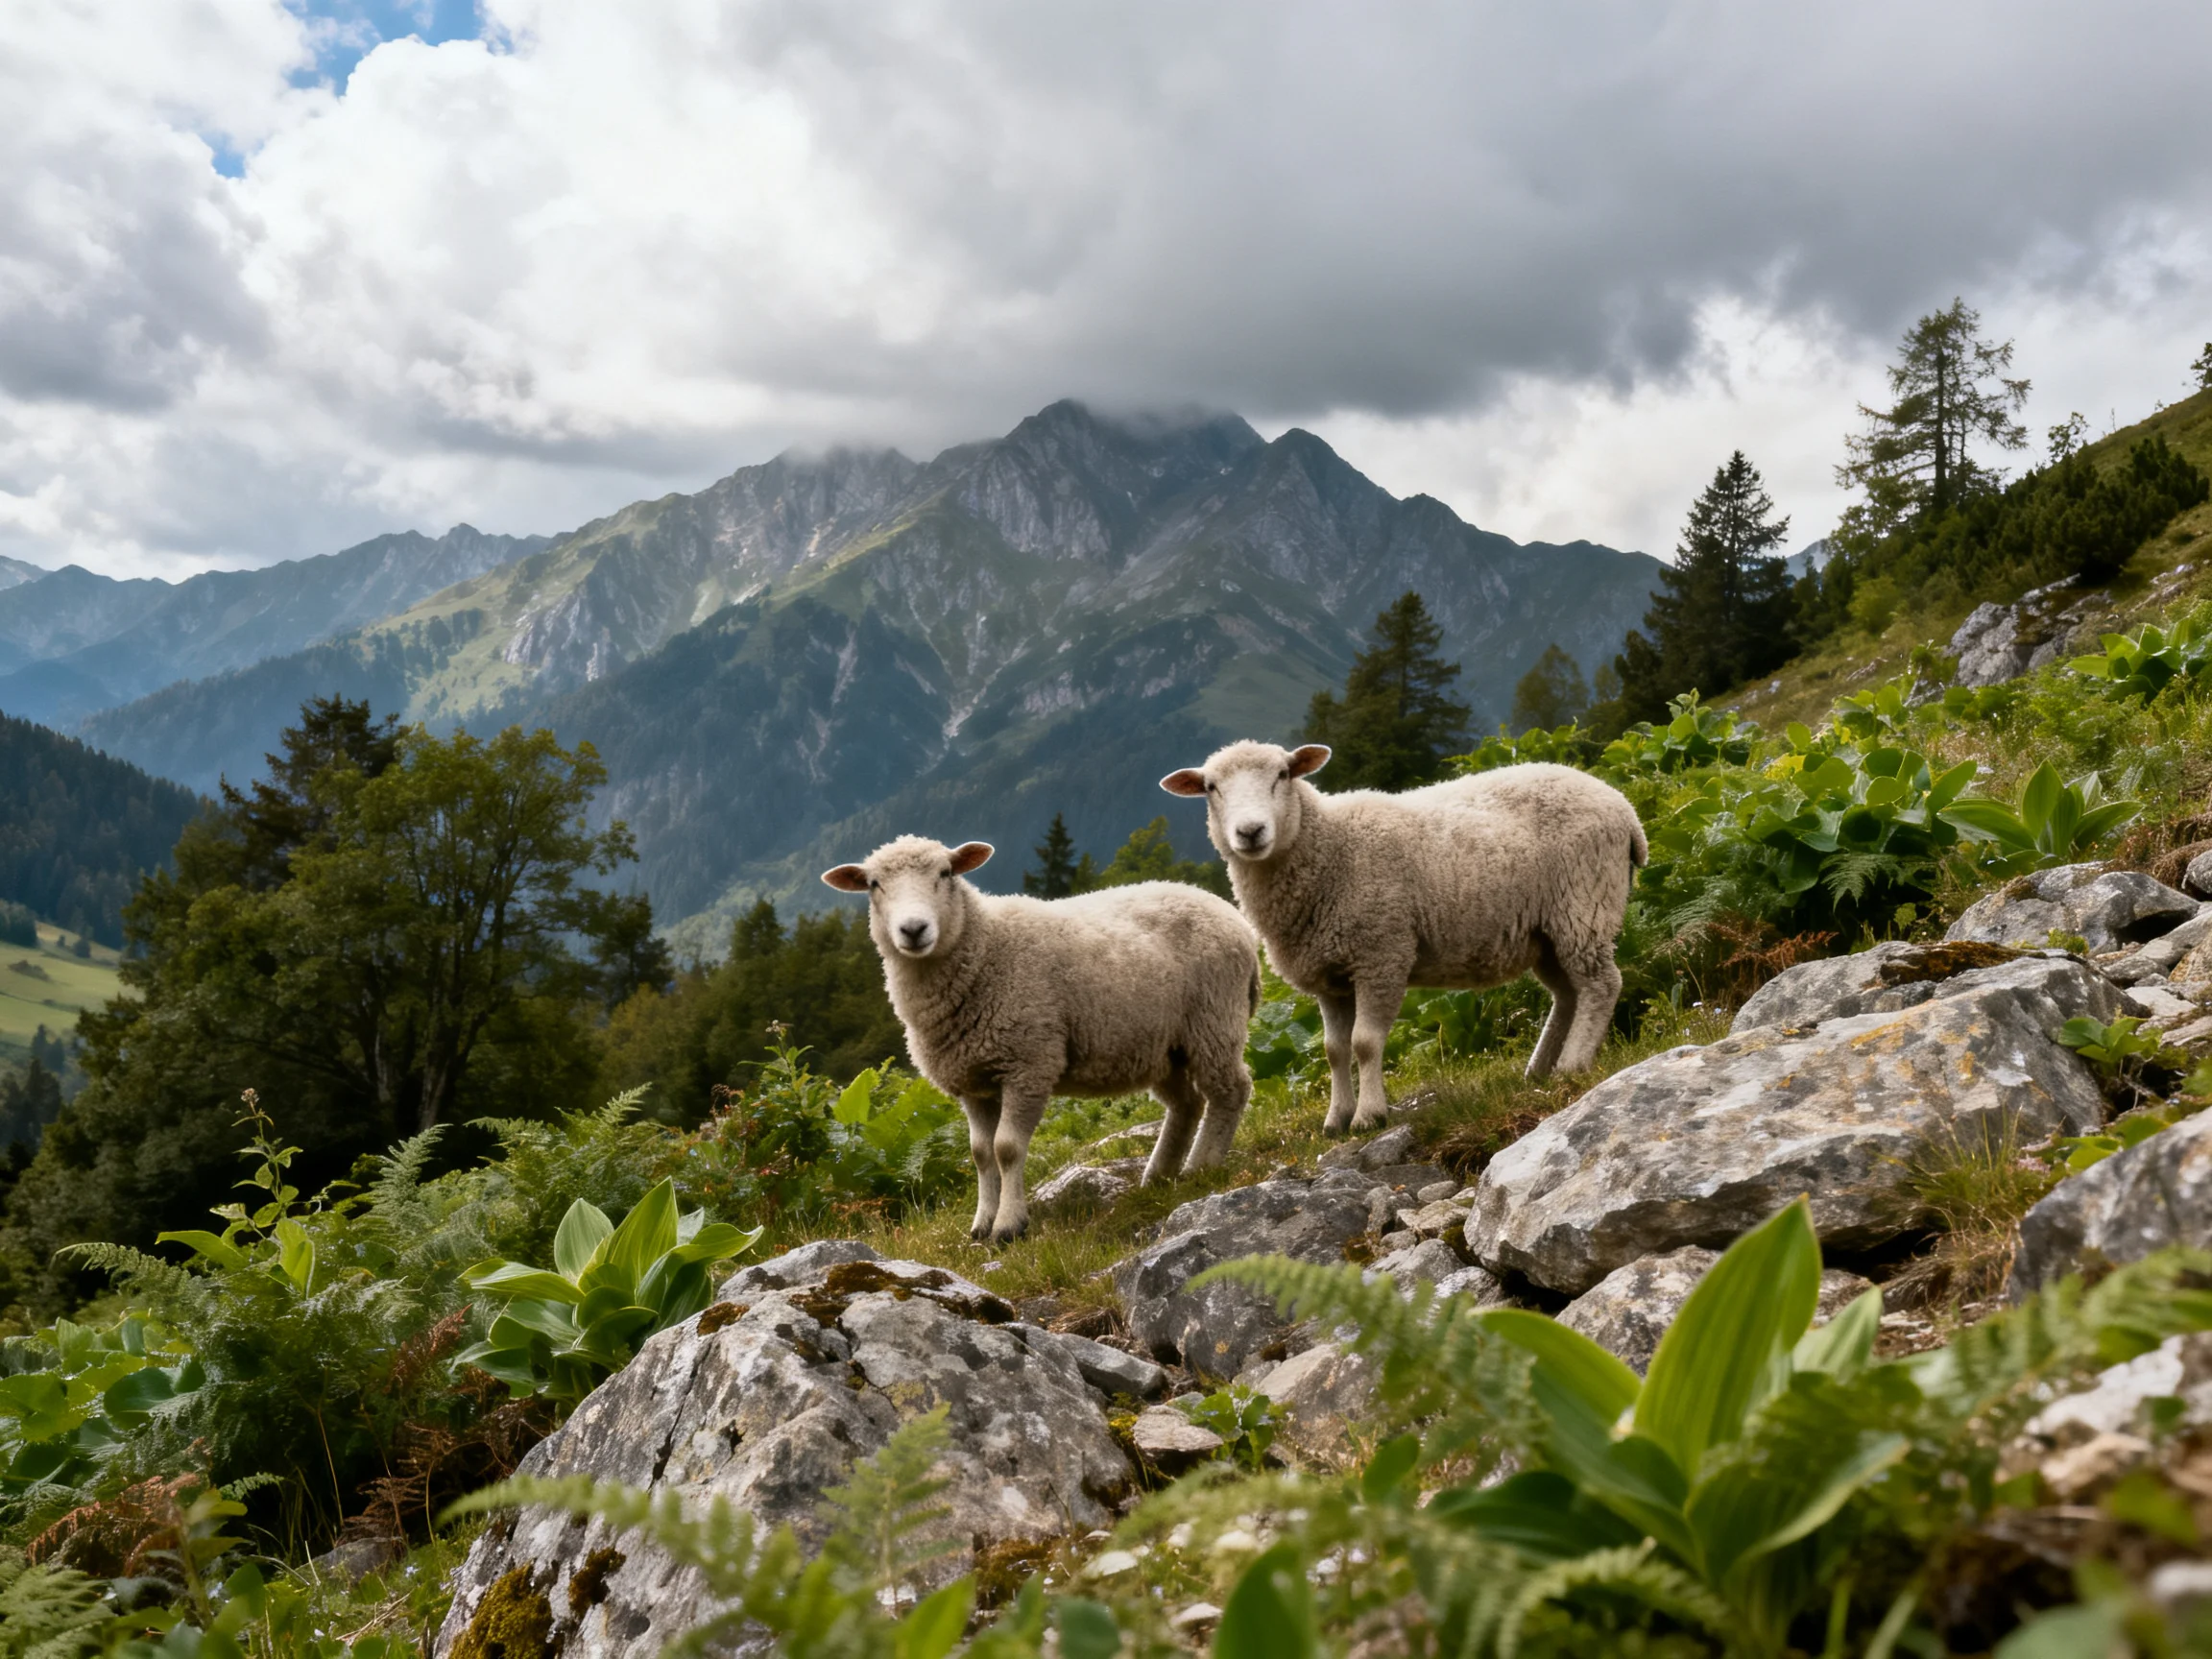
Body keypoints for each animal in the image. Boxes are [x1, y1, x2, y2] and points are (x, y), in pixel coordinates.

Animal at [822, 835, 1260, 1243]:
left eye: (945, 873)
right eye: (874, 884)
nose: (913, 930)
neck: (985, 948)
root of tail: (1230, 913)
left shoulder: (1029, 1063)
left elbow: (1007, 1148)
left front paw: (1009, 1226)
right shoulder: (974, 1082)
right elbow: (980, 1154)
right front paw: (982, 1223)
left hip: (1214, 1020)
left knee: (1230, 1091)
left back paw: (1202, 1166)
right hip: (1163, 1046)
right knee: (1186, 1104)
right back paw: (1158, 1176)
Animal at [1160, 742, 1646, 1133]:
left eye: (1283, 774)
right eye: (1210, 787)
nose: (1250, 832)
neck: (1329, 848)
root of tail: (1623, 808)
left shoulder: (1381, 954)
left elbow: (1365, 1042)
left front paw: (1369, 1116)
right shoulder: (1331, 976)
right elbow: (1334, 1050)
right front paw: (1336, 1119)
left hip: (1584, 903)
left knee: (1601, 984)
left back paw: (1573, 1064)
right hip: (1546, 930)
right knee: (1568, 993)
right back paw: (1541, 1068)